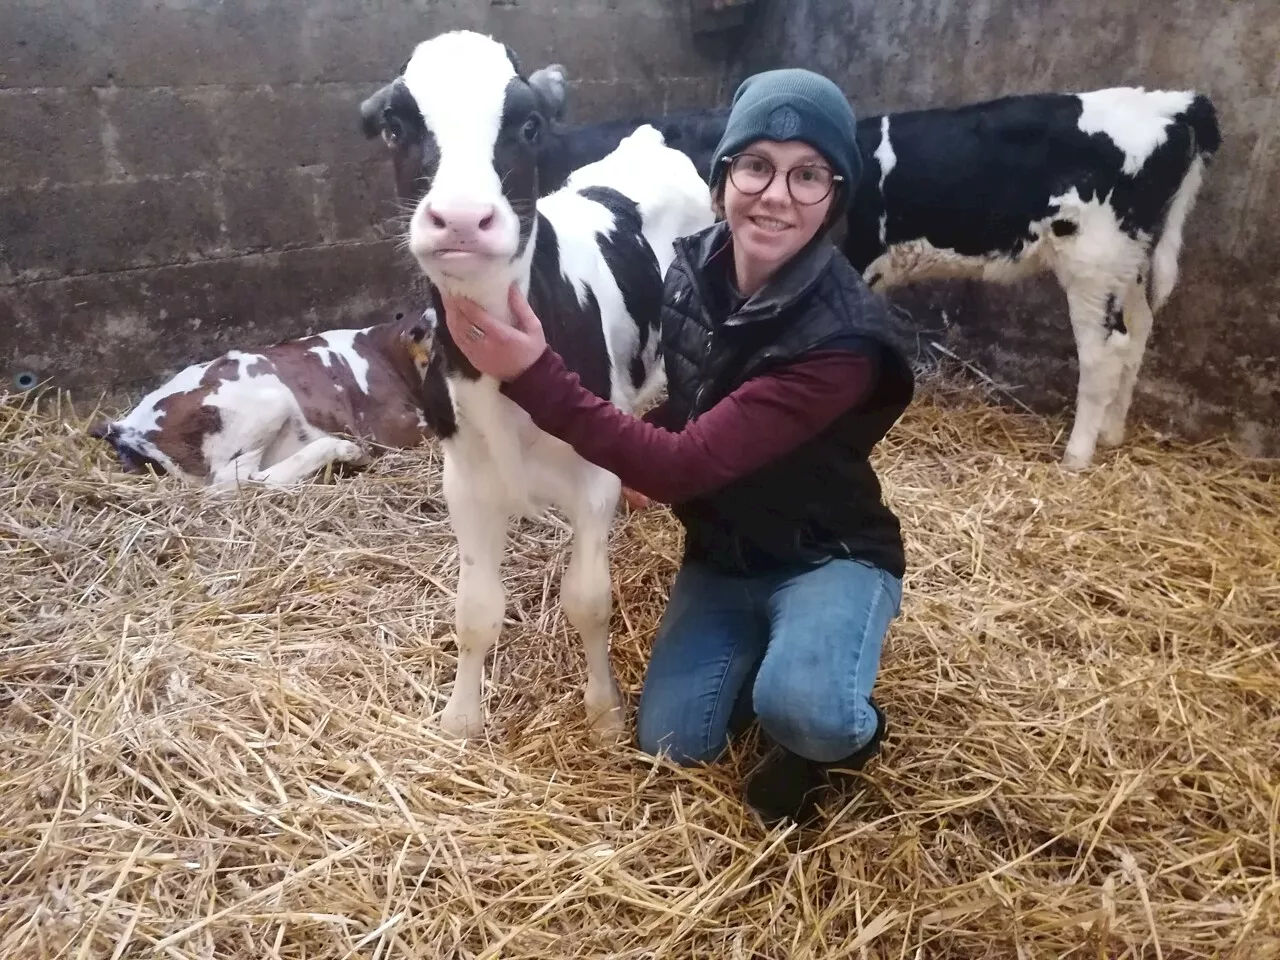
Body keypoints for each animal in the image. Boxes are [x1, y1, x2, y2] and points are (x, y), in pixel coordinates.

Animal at [358, 28, 721, 737]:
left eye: (527, 126)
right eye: (395, 124)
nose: (462, 219)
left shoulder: (594, 477)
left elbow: (588, 600)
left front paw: (604, 714)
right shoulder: (465, 481)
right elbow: (475, 609)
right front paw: (461, 717)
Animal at [540, 88, 1218, 471]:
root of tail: (1177, 105)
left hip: (1094, 258)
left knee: (1105, 354)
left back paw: (1077, 455)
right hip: (1132, 261)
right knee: (1139, 336)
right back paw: (1113, 435)